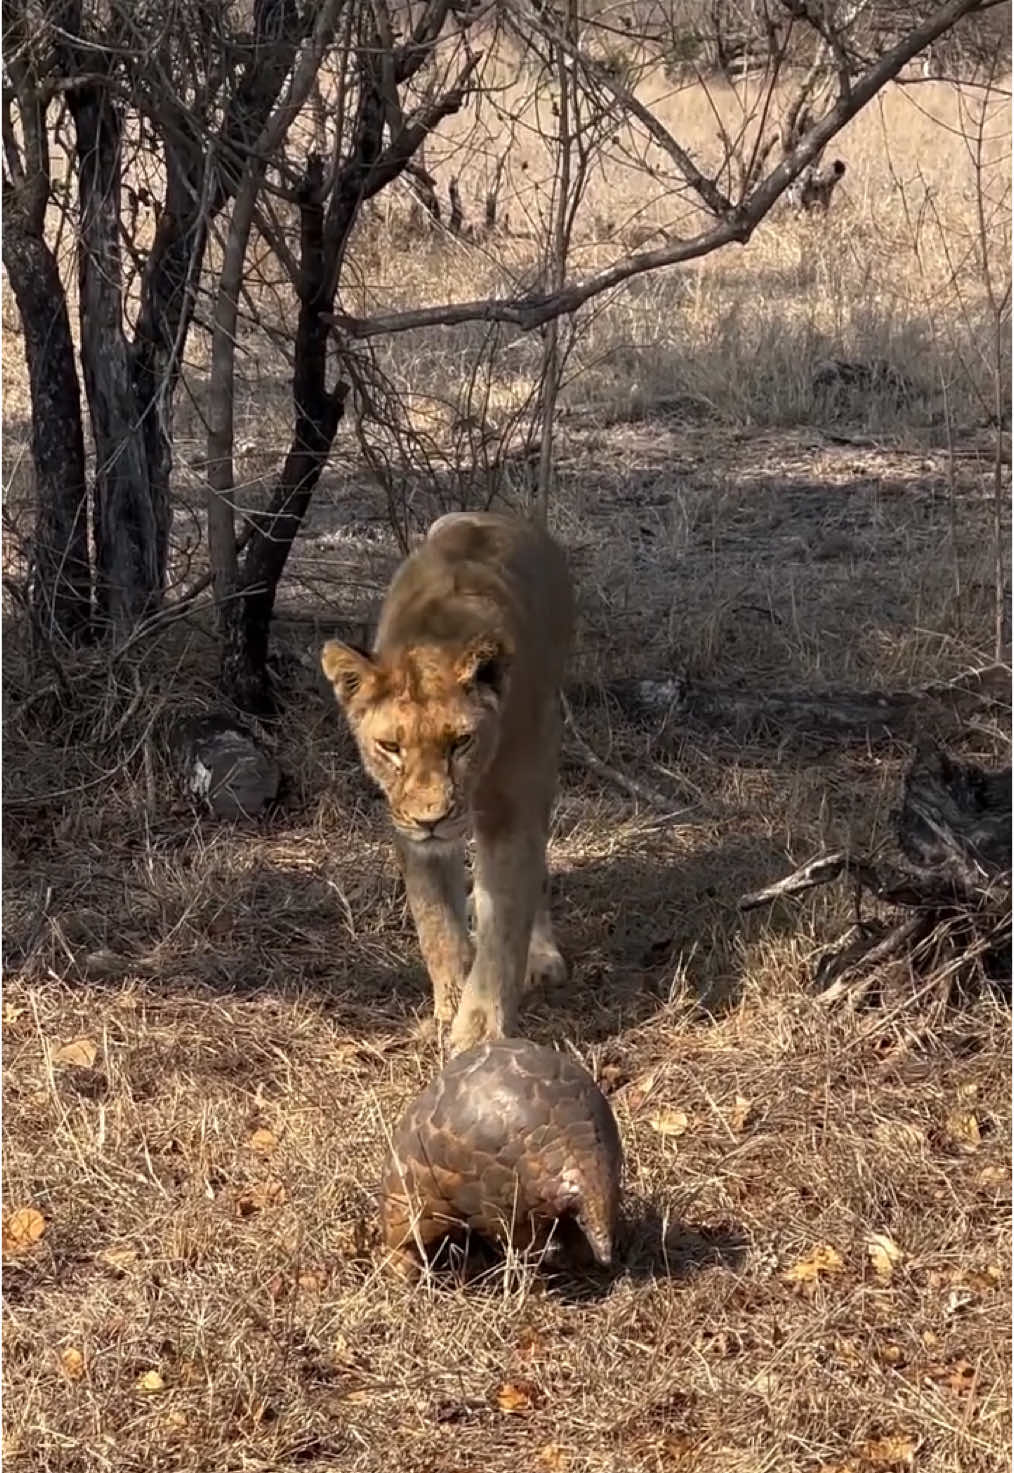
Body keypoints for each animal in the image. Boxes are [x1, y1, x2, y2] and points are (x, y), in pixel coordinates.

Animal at [324, 512, 577, 1054]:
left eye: (460, 742)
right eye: (390, 747)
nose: (433, 818)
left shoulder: (512, 811)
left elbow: (504, 924)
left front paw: (480, 1028)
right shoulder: (409, 832)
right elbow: (436, 923)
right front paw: (450, 1005)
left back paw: (542, 956)